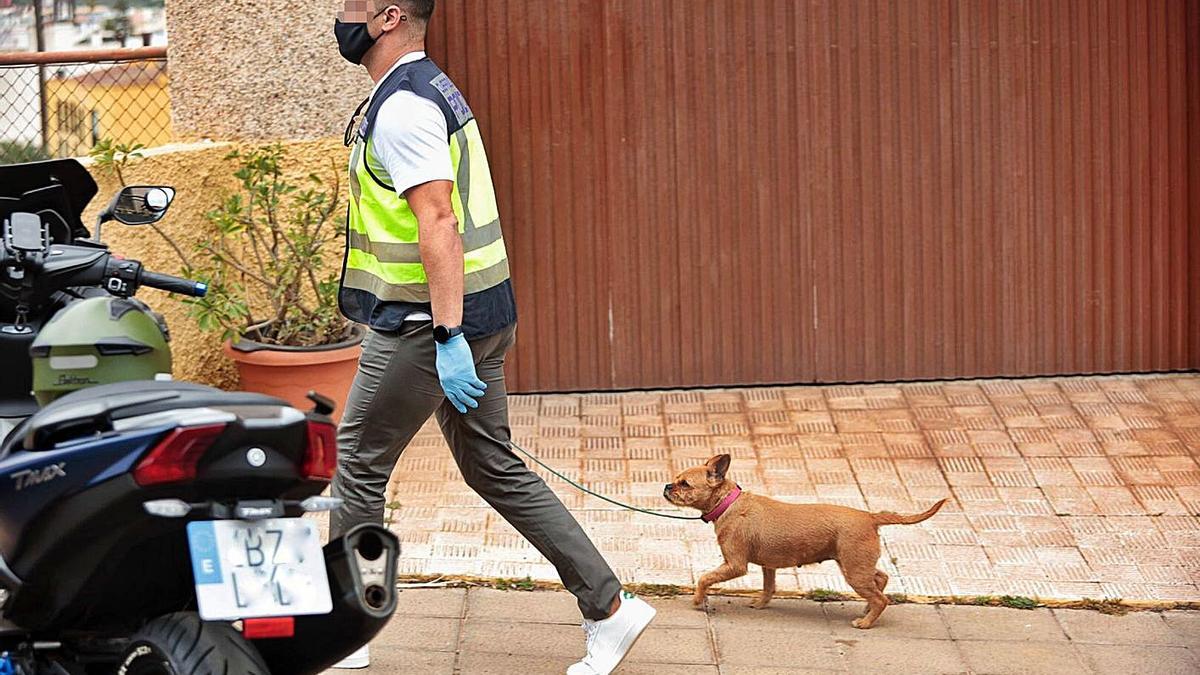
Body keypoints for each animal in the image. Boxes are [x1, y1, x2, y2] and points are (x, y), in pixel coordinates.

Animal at [672, 451, 940, 624]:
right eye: (676, 480)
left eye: (685, 484)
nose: (666, 486)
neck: (728, 502)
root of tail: (870, 516)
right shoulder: (768, 566)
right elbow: (769, 587)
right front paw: (760, 604)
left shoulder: (735, 564)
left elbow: (705, 578)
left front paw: (697, 600)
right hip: (856, 564)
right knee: (881, 579)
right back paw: (866, 609)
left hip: (854, 570)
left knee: (881, 598)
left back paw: (865, 622)